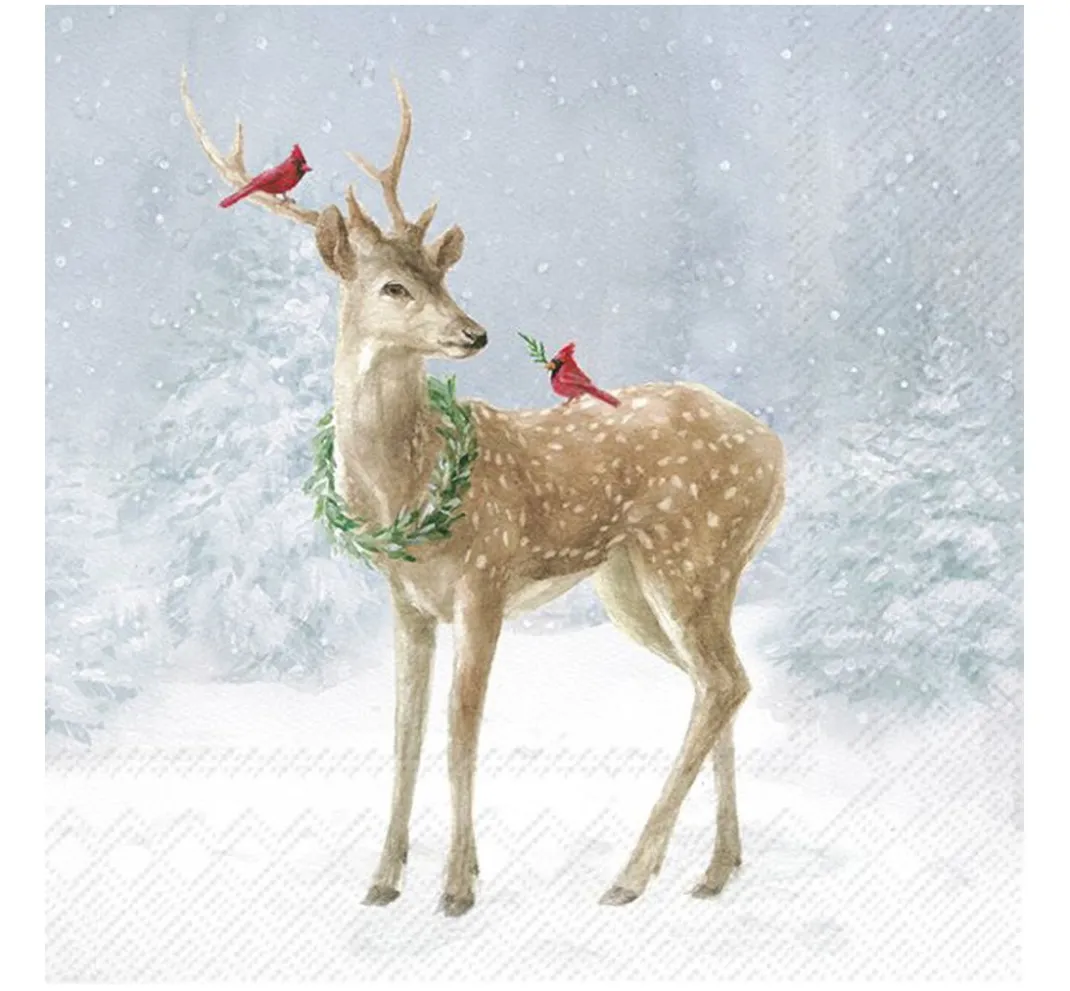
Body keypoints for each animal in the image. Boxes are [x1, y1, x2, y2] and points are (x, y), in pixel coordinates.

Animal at [180, 69, 786, 916]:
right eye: (394, 286)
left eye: (445, 276)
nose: (473, 333)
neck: (404, 490)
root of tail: (777, 453)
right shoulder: (407, 602)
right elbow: (404, 735)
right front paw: (382, 879)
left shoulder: (485, 580)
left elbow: (460, 733)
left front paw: (459, 885)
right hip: (643, 580)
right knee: (721, 683)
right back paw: (714, 868)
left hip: (689, 552)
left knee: (723, 681)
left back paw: (631, 873)